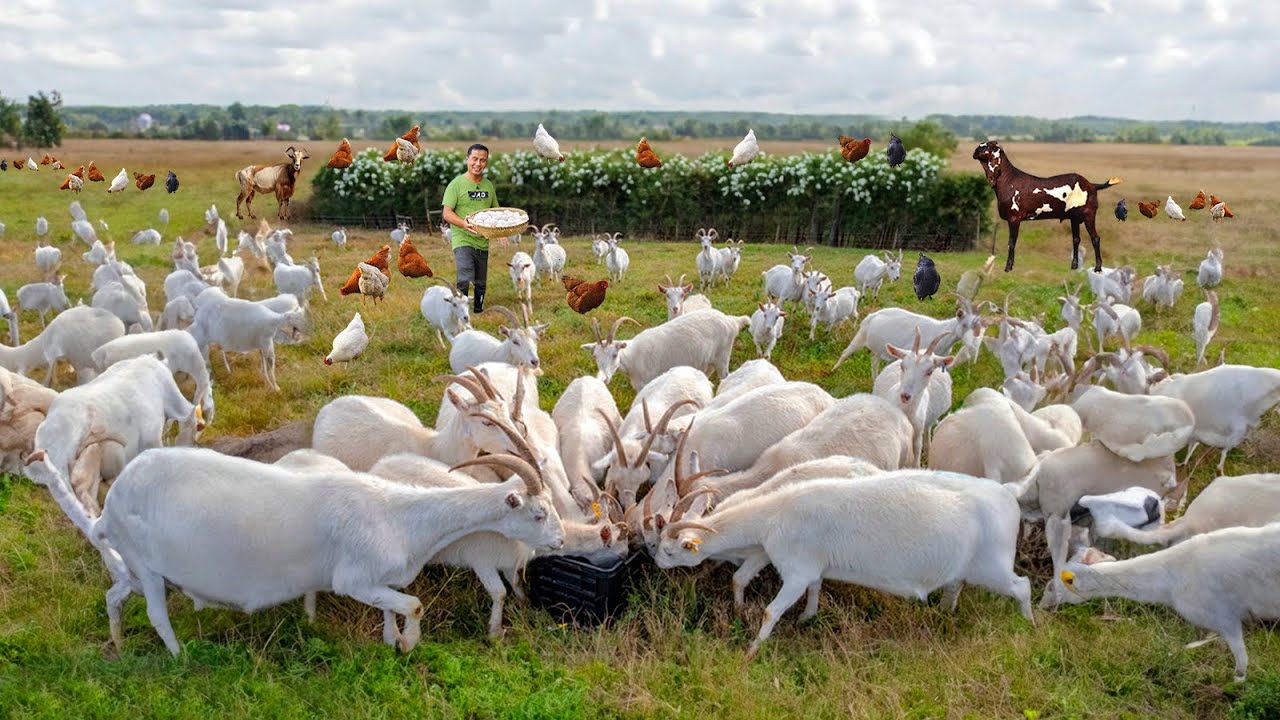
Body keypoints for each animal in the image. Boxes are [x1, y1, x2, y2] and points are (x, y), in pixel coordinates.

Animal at [972, 140, 1121, 273]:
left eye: (986, 146)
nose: (974, 152)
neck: (1008, 180)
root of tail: (1092, 185)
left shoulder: (1014, 219)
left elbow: (1011, 243)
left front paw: (1008, 267)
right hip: (1074, 217)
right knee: (1076, 239)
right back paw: (1074, 266)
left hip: (1089, 214)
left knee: (1095, 239)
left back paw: (1098, 267)